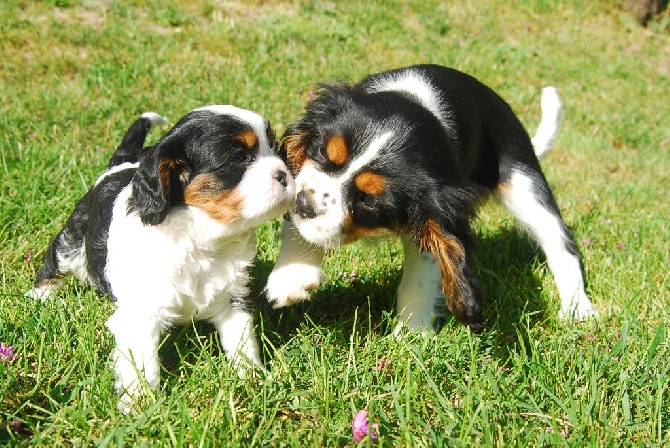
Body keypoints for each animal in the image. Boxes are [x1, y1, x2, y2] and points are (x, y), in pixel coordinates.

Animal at [28, 105, 296, 410]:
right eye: (239, 158)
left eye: (275, 148)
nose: (285, 174)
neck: (201, 238)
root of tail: (118, 166)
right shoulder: (141, 312)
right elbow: (142, 362)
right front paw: (139, 403)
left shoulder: (233, 297)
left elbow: (241, 339)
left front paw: (252, 377)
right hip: (72, 241)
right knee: (54, 259)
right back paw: (41, 297)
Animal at [268, 65, 600, 334]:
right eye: (322, 152)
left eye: (369, 201)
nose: (303, 204)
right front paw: (291, 277)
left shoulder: (434, 213)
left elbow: (421, 276)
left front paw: (410, 337)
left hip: (524, 184)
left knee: (559, 243)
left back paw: (577, 308)